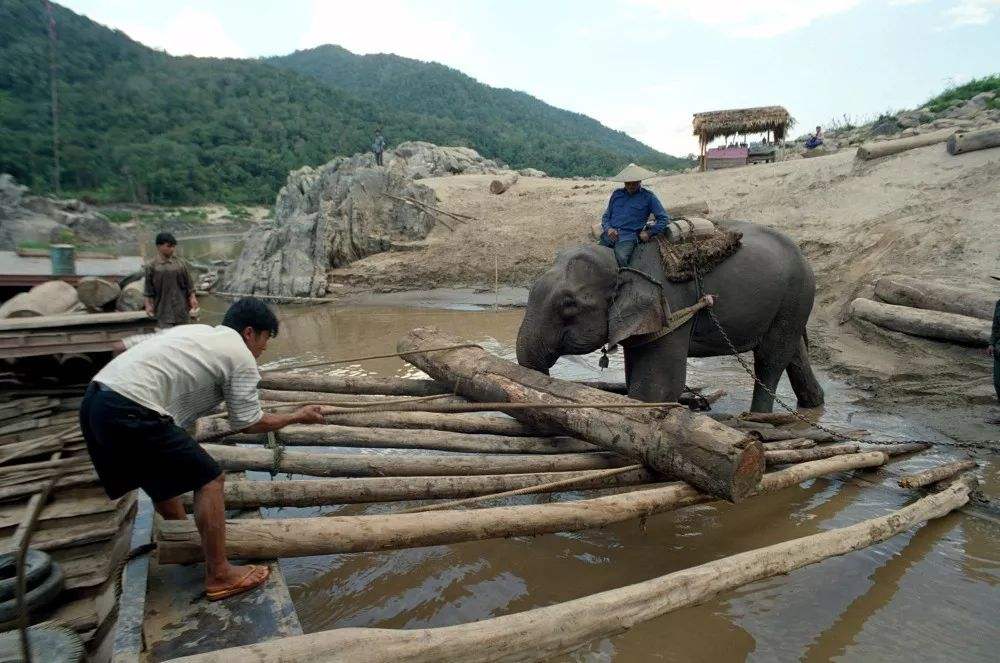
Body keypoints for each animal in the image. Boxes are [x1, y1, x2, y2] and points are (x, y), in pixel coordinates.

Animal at [520, 220, 824, 412]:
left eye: (568, 305)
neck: (620, 259)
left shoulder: (670, 305)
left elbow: (656, 388)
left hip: (795, 294)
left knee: (770, 360)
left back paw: (759, 419)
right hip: (790, 303)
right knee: (793, 352)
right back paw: (814, 403)